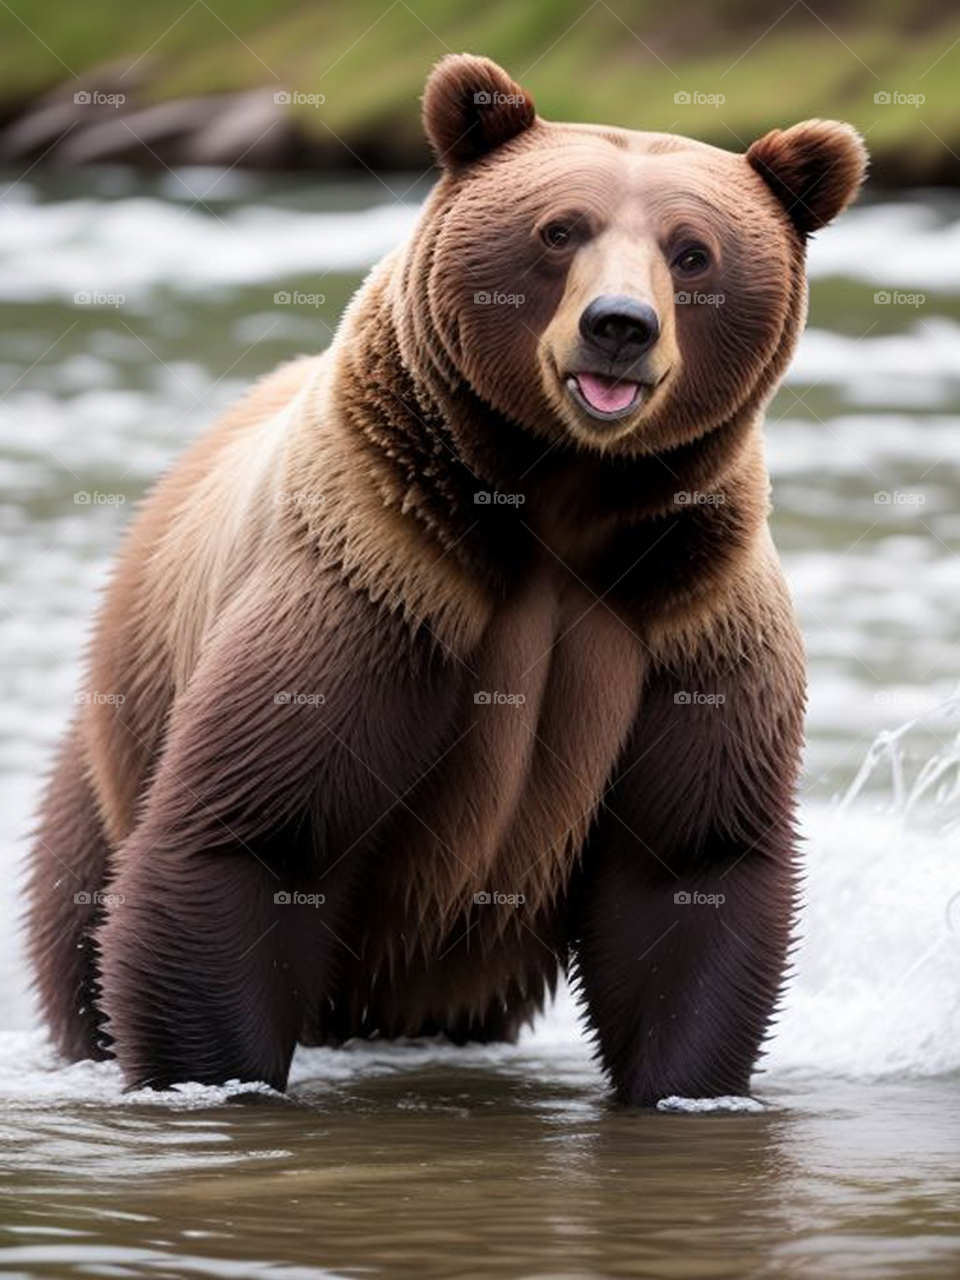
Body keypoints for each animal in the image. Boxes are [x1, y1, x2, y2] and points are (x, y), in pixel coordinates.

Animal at [26, 54, 867, 1105]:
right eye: (560, 228)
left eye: (693, 252)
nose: (619, 327)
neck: (561, 504)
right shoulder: (380, 584)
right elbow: (257, 834)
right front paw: (215, 1075)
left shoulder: (688, 613)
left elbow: (688, 865)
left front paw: (685, 1088)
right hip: (114, 745)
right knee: (79, 913)